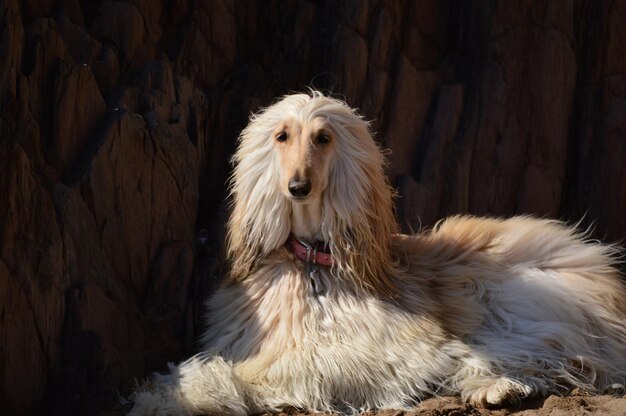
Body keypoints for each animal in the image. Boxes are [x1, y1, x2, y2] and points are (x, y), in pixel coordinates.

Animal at [128, 91, 624, 416]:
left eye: (323, 138)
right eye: (281, 136)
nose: (297, 187)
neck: (315, 263)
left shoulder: (396, 348)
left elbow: (283, 369)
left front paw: (189, 392)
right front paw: (168, 390)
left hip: (510, 295)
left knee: (555, 354)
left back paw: (499, 386)